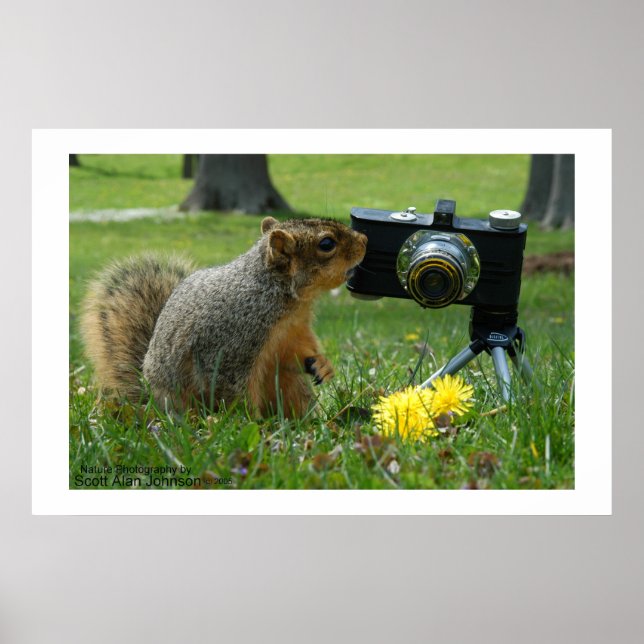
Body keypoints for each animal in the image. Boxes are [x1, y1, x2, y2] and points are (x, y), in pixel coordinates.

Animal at [81, 216, 367, 418]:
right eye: (327, 244)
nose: (365, 239)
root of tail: (151, 399)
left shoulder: (294, 331)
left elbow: (296, 352)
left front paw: (322, 364)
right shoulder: (232, 345)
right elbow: (233, 392)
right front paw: (252, 427)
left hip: (290, 384)